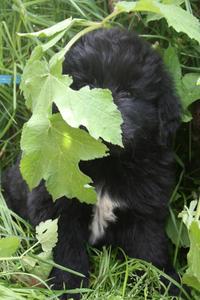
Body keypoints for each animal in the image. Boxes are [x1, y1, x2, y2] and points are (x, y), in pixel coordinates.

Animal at [1, 27, 180, 298]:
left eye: (127, 92)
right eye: (85, 86)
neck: (105, 165)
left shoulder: (144, 211)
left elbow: (151, 250)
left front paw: (167, 285)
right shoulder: (58, 210)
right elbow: (67, 254)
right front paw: (68, 287)